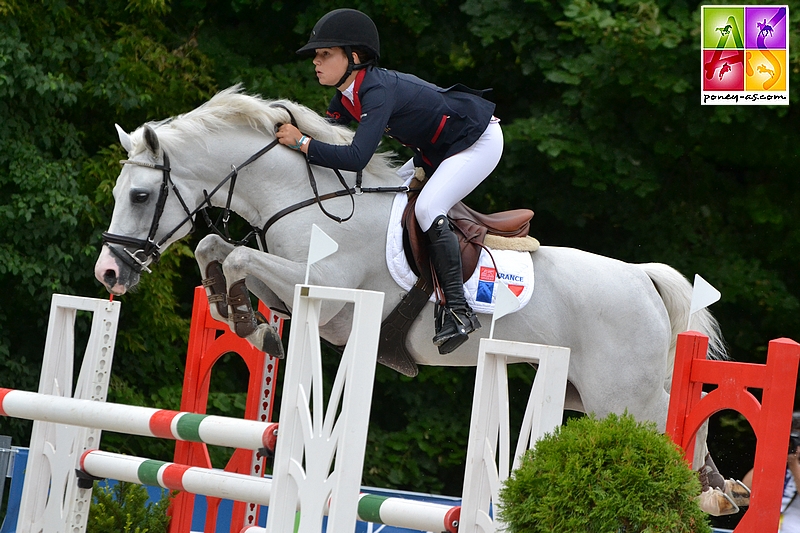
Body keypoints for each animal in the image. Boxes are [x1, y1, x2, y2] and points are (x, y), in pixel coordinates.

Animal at [94, 86, 744, 512]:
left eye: (142, 194)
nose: (107, 272)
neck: (306, 198)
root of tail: (643, 278)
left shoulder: (328, 296)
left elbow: (236, 257)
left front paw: (246, 318)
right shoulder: (298, 293)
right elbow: (215, 247)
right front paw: (243, 316)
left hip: (623, 400)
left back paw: (716, 495)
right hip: (593, 395)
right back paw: (720, 491)